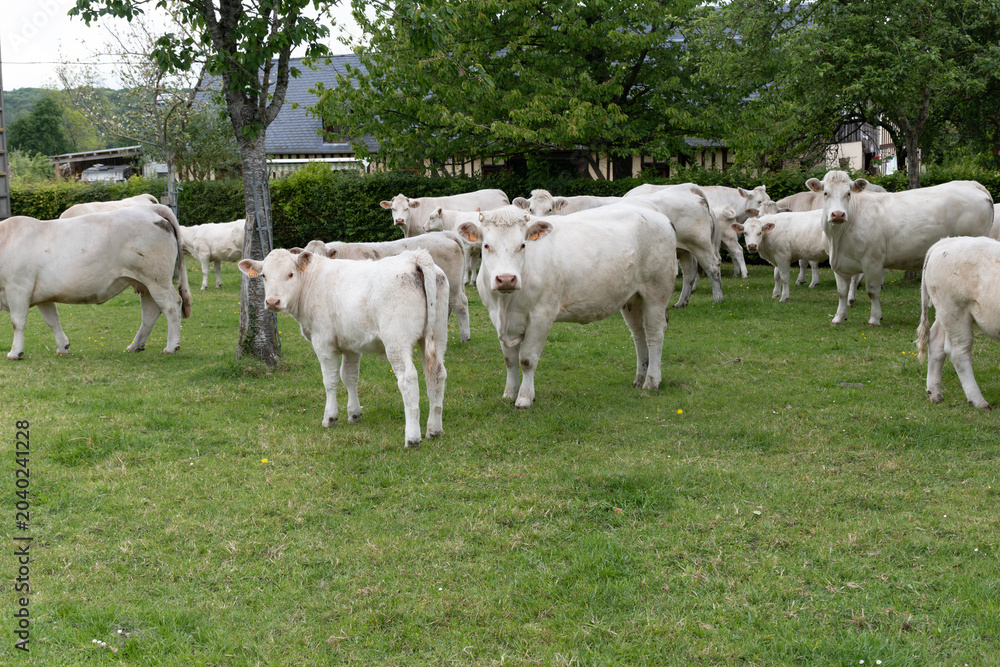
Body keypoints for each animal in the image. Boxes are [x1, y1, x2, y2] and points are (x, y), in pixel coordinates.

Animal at [0, 204, 193, 360]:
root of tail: (150, 208)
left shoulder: (18, 287)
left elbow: (18, 322)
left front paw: (15, 352)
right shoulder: (42, 294)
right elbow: (53, 320)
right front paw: (63, 347)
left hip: (157, 279)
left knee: (171, 304)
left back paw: (171, 347)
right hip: (145, 283)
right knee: (150, 313)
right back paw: (135, 346)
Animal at [238, 248, 449, 448]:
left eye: (290, 274)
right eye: (264, 275)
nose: (272, 302)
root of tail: (414, 256)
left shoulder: (323, 342)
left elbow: (330, 380)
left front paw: (330, 417)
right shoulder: (352, 344)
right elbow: (349, 377)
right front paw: (354, 414)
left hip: (396, 339)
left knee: (408, 378)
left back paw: (412, 437)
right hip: (438, 334)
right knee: (437, 373)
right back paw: (434, 429)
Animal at [456, 204, 677, 408]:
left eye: (522, 245)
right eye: (486, 245)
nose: (506, 279)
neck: (506, 306)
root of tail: (661, 217)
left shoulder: (541, 315)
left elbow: (527, 359)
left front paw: (525, 398)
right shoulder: (496, 317)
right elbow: (509, 359)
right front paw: (509, 394)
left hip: (656, 292)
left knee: (654, 335)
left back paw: (652, 381)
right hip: (632, 298)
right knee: (639, 335)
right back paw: (639, 378)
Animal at [806, 170, 994, 325]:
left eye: (848, 193)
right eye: (825, 193)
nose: (838, 214)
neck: (838, 238)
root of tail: (972, 184)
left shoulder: (872, 261)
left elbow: (872, 291)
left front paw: (875, 318)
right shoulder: (839, 264)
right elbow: (841, 292)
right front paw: (839, 317)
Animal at [917, 236, 1000, 410]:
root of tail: (945, 241)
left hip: (944, 313)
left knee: (936, 341)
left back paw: (935, 393)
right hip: (955, 312)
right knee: (958, 352)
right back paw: (978, 400)